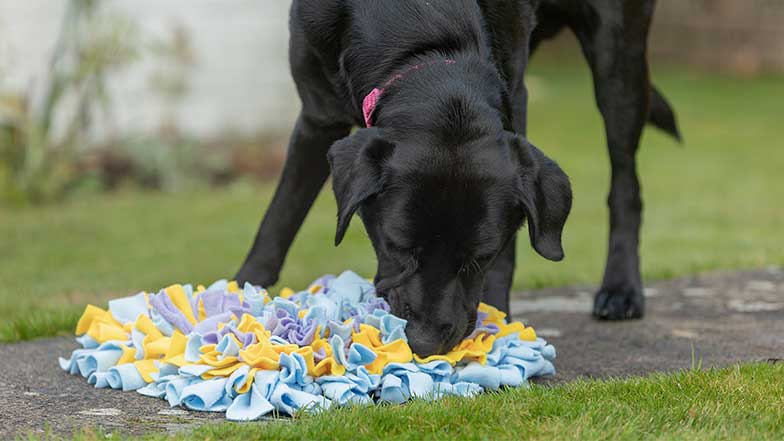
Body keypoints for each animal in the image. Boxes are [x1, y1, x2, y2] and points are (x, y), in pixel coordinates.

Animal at [234, 0, 680, 356]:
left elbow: (510, 253)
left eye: (480, 256)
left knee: (626, 184)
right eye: (397, 247)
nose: (425, 343)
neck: (423, 39)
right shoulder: (317, 115)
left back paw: (620, 289)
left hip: (618, 58)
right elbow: (279, 220)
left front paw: (499, 318)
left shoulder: (515, 96)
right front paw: (241, 292)